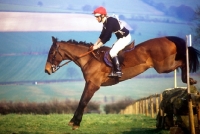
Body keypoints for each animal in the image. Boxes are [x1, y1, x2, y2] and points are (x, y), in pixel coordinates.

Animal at [44, 35, 199, 130]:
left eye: (51, 53)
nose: (46, 70)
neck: (88, 59)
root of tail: (169, 39)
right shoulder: (90, 84)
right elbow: (82, 101)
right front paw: (73, 121)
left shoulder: (92, 85)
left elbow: (83, 102)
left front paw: (75, 123)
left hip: (163, 66)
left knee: (183, 61)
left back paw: (189, 79)